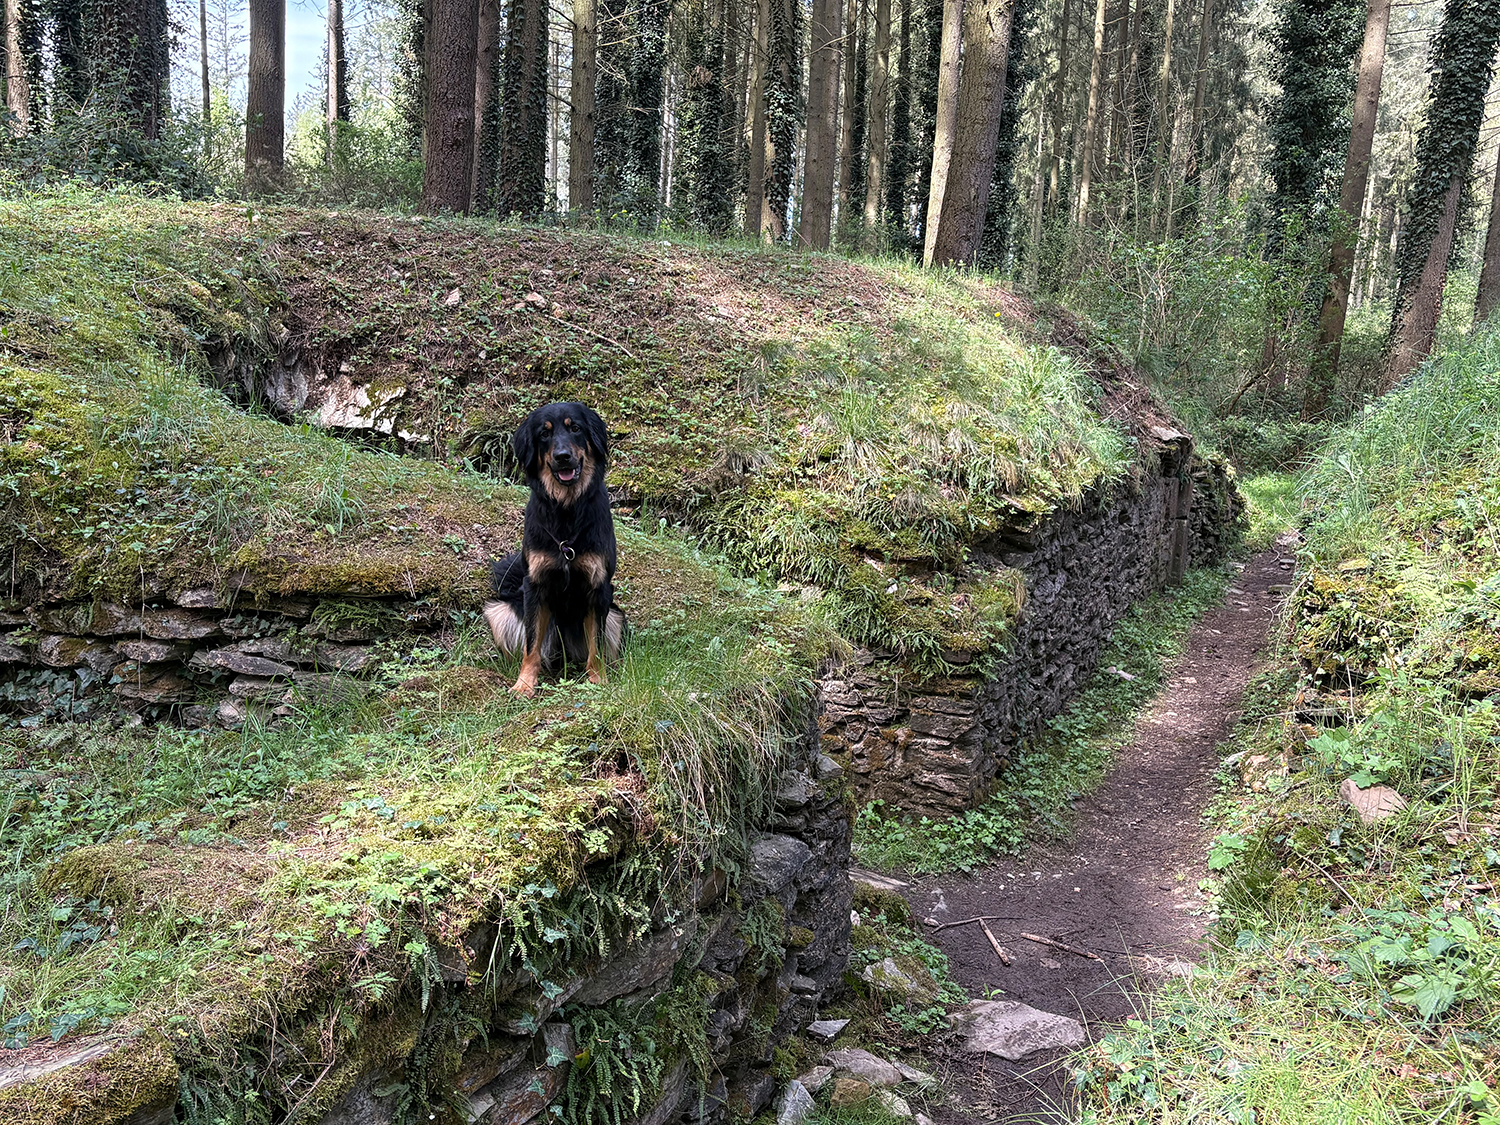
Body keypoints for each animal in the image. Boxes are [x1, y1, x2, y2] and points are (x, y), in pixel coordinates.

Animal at [484, 402, 626, 697]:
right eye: (544, 434)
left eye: (576, 428)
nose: (562, 457)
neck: (566, 510)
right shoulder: (535, 586)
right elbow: (531, 646)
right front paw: (524, 684)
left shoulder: (599, 587)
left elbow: (596, 646)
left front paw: (598, 680)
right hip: (499, 611)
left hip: (616, 615)